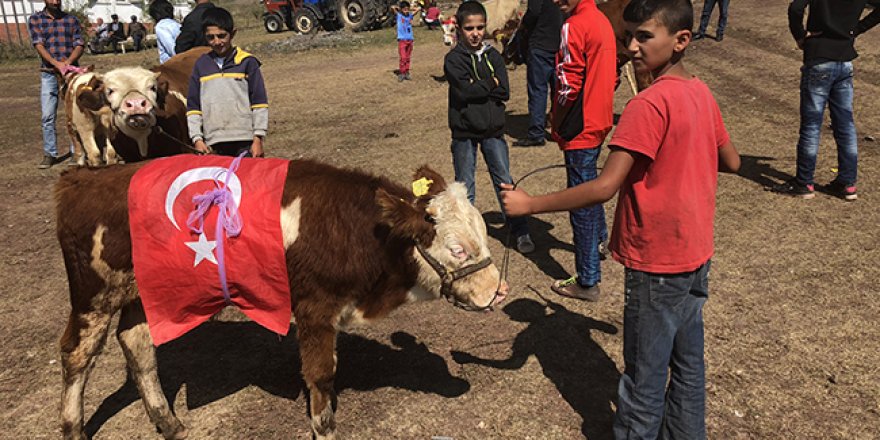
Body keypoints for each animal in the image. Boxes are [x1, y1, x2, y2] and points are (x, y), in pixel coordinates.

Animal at [55, 160, 506, 440]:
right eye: (458, 249)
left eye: (484, 231)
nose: (498, 290)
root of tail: (82, 178)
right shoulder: (314, 309)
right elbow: (321, 375)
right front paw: (324, 428)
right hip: (94, 295)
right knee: (77, 354)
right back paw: (74, 427)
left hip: (139, 292)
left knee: (138, 347)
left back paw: (169, 423)